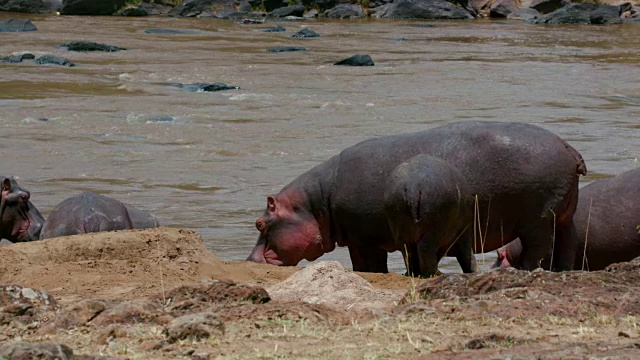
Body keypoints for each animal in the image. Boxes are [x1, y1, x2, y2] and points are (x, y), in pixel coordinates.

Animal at [248, 121, 588, 272]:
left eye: (260, 224)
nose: (249, 260)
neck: (316, 204)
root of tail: (568, 147)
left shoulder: (364, 240)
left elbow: (370, 266)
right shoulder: (359, 240)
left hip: (539, 221)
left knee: (537, 251)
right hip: (564, 216)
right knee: (566, 246)